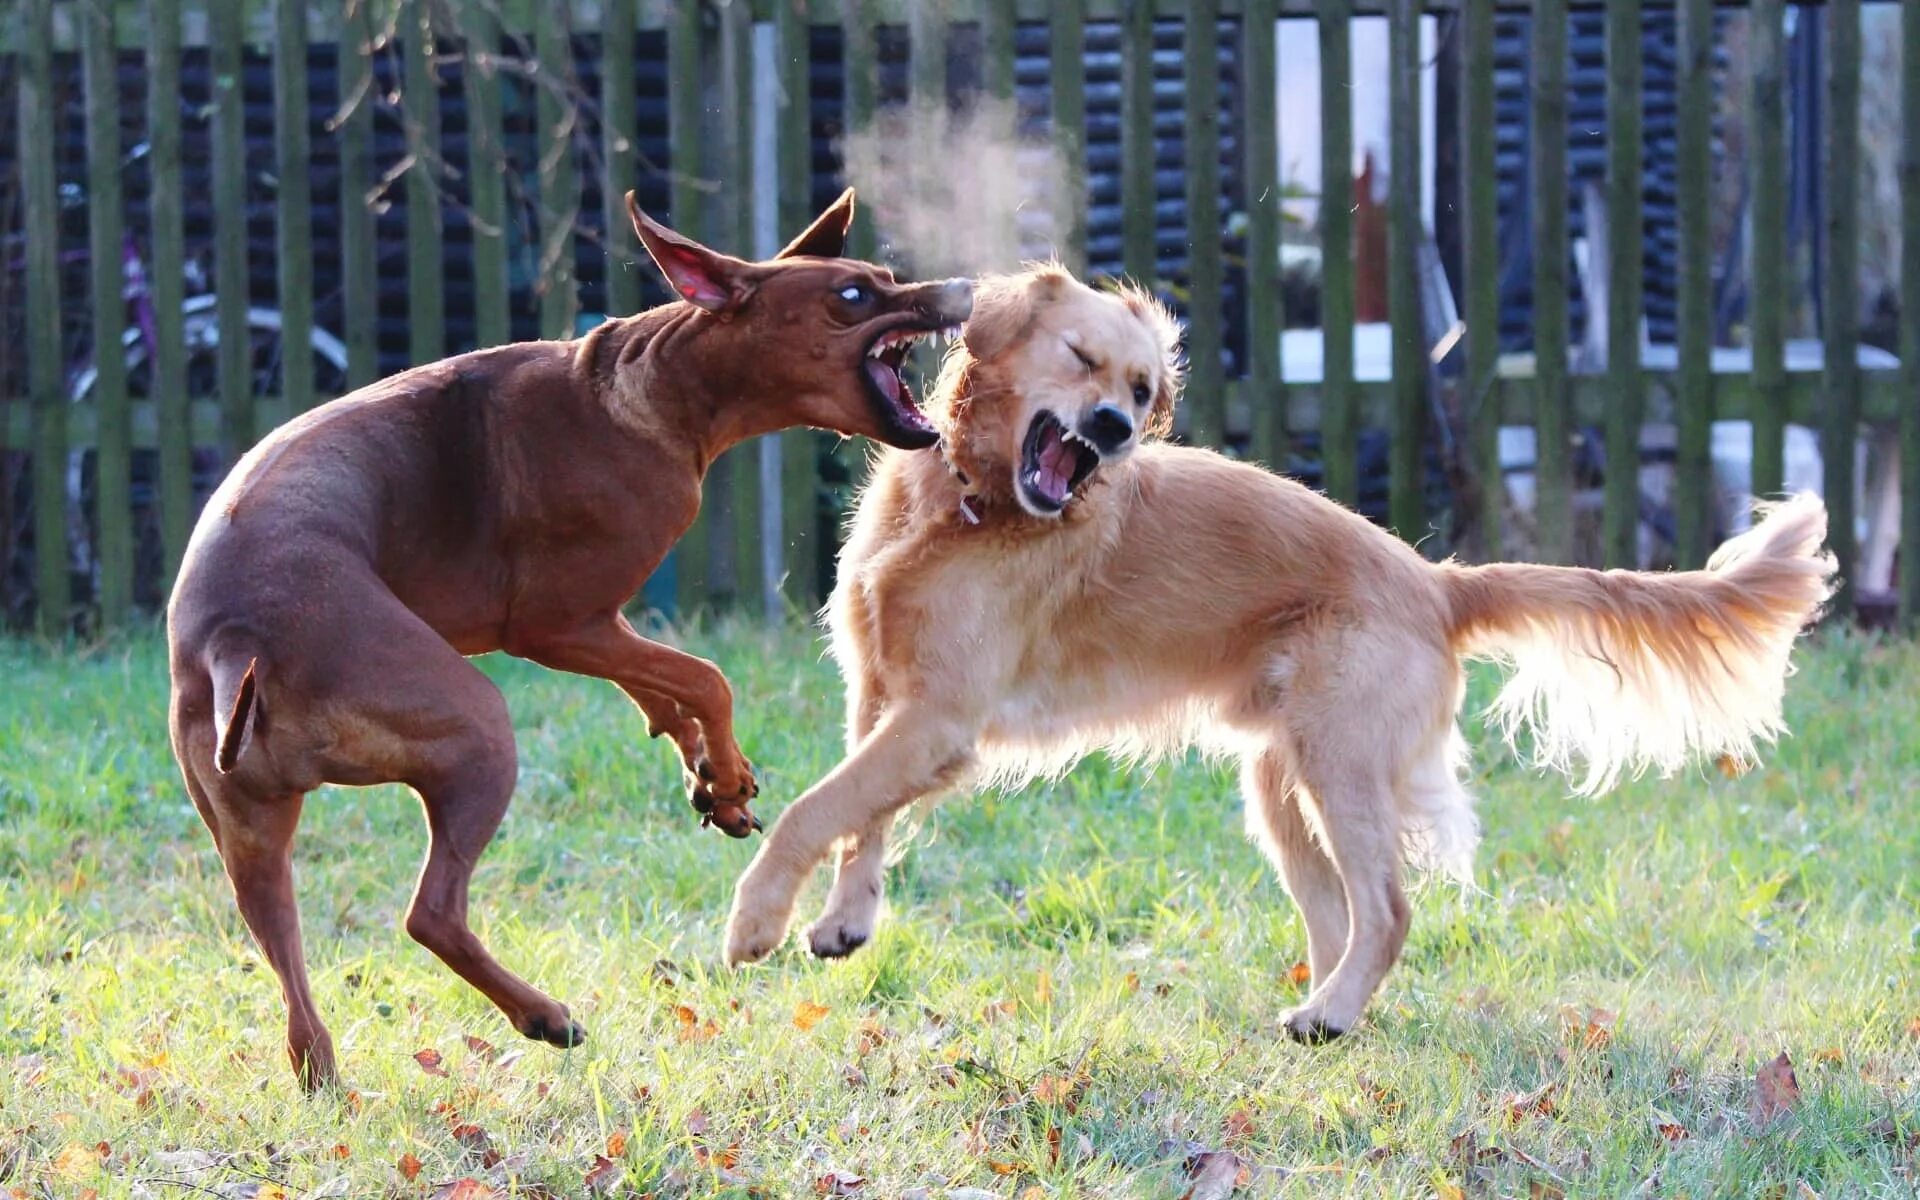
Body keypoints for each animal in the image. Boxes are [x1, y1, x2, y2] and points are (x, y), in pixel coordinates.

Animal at [165, 185, 975, 1082]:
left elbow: (661, 689)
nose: (965, 290)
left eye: (883, 278)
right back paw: (544, 1016)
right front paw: (725, 771)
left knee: (286, 954)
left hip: (250, 832)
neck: (650, 387)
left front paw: (709, 777)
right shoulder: (551, 625)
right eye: (854, 295)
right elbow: (705, 676)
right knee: (430, 914)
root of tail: (236, 641)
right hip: (476, 727)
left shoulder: (599, 623)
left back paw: (329, 1072)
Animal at [721, 268, 1827, 1036]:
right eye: (1081, 358)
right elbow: (860, 819)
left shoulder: (939, 717)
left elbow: (813, 810)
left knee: (1388, 910)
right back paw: (1329, 1009)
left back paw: (1330, 1015)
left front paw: (755, 922)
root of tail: (1437, 581)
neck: (967, 505)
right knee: (1339, 917)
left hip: (1340, 766)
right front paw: (846, 920)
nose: (1115, 429)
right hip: (1281, 782)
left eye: (1143, 388)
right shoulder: (887, 700)